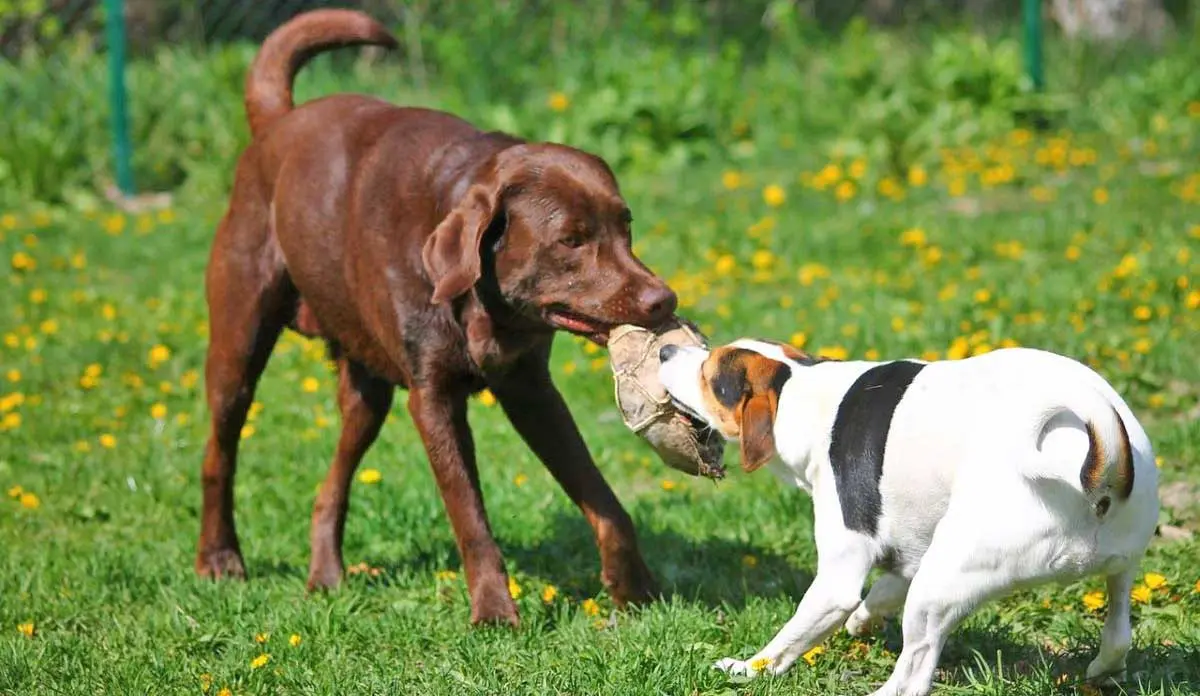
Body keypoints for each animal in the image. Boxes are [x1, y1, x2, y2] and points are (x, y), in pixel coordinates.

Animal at [196, 9, 676, 624]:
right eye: (571, 239)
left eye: (625, 226)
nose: (664, 300)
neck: (481, 306)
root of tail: (276, 122)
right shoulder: (434, 401)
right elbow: (470, 516)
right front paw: (494, 612)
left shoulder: (532, 391)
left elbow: (604, 499)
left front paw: (633, 588)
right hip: (239, 344)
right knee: (220, 452)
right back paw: (219, 558)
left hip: (367, 393)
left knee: (333, 483)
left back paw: (325, 574)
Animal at [662, 340, 1156, 691]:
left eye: (709, 375)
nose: (666, 350)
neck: (804, 392)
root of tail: (1098, 465)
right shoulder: (909, 551)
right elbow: (880, 591)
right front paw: (863, 620)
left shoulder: (838, 579)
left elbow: (789, 638)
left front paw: (748, 668)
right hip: (1120, 568)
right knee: (1118, 635)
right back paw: (1104, 667)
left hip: (937, 587)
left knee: (912, 679)